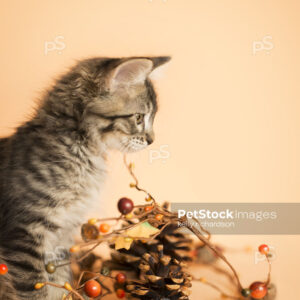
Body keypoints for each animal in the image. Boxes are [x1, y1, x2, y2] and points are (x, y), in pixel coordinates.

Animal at [0, 55, 170, 298]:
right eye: (139, 117)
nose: (151, 140)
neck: (81, 152)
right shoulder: (24, 232)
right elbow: (35, 289)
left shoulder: (62, 237)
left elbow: (59, 281)